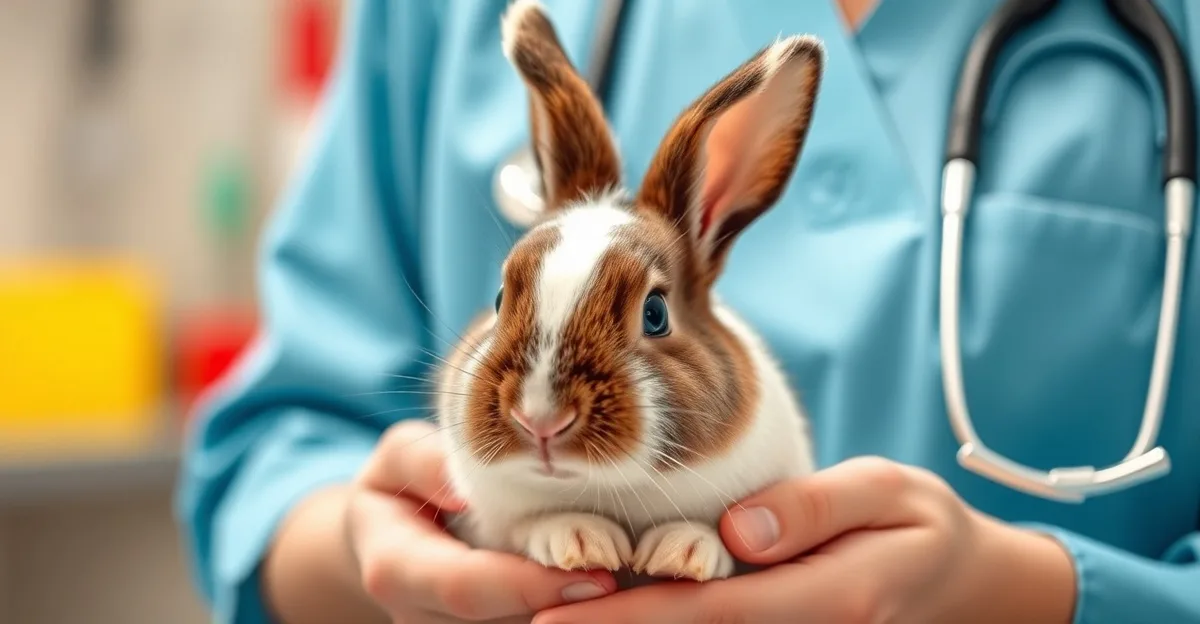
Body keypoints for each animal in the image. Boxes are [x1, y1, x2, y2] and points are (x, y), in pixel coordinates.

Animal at [434, 0, 824, 585]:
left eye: (656, 313)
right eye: (501, 298)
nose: (540, 420)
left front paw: (683, 550)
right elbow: (529, 527)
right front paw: (580, 538)